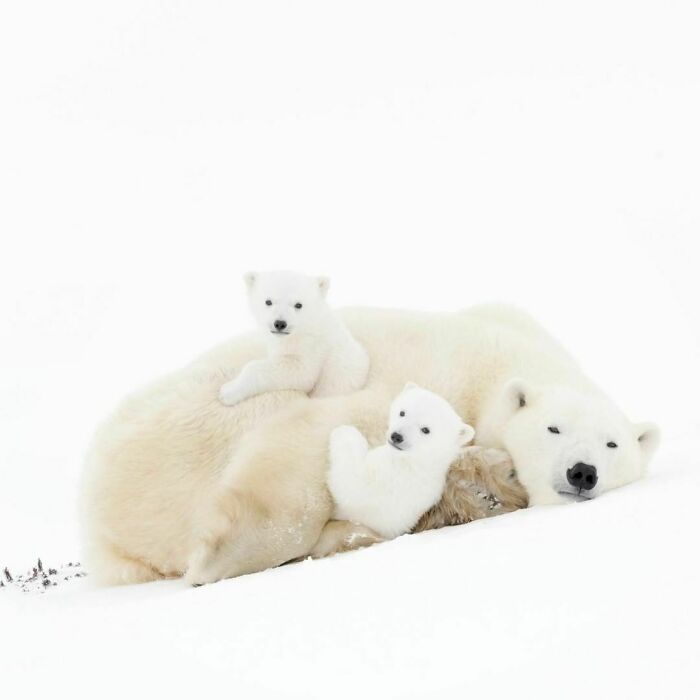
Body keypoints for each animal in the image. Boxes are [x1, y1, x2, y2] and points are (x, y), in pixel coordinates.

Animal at [218, 271, 369, 406]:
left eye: (298, 304)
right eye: (268, 301)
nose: (280, 323)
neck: (300, 331)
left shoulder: (313, 348)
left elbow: (301, 374)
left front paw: (227, 391)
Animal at [327, 383, 475, 540]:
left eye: (425, 429)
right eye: (402, 412)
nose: (397, 436)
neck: (414, 462)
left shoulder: (386, 486)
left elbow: (351, 484)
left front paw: (344, 431)